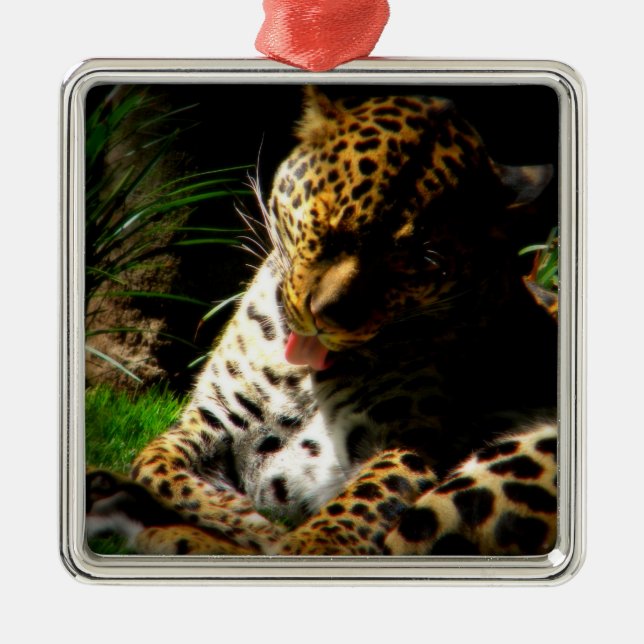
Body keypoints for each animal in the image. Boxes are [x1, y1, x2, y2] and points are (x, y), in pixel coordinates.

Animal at [86, 86, 558, 557]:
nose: (326, 315)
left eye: (422, 263)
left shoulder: (414, 443)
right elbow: (154, 462)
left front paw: (273, 535)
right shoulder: (212, 416)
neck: (301, 379)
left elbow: (348, 517)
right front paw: (241, 520)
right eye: (325, 222)